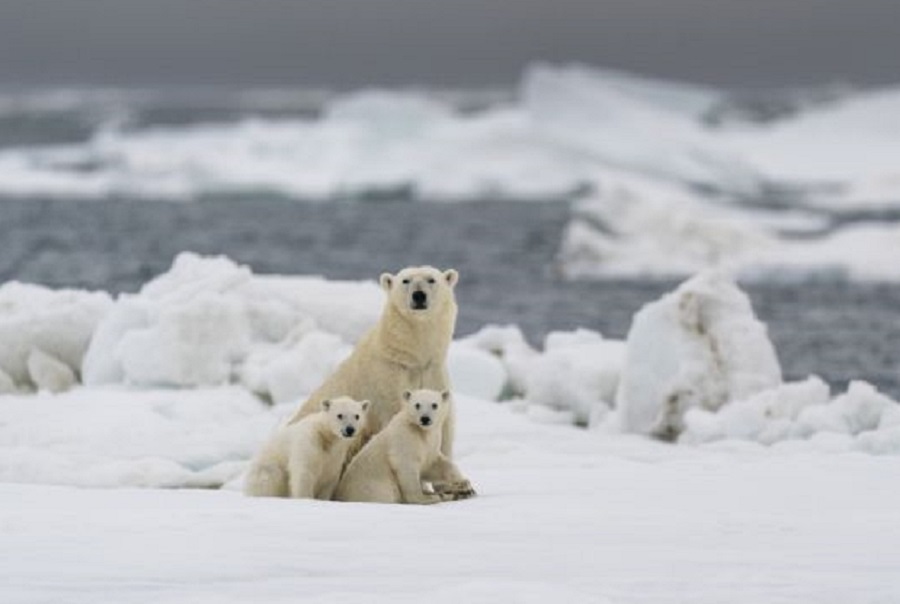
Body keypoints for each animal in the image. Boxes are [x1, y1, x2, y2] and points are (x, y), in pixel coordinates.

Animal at [286, 264, 460, 458]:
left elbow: (444, 424)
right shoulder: (387, 382)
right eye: (405, 280)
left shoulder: (433, 371)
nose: (419, 295)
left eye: (431, 279)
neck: (411, 357)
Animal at [336, 390, 474, 502]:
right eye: (417, 404)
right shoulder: (404, 438)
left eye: (434, 405)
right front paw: (425, 497)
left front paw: (464, 484)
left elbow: (433, 463)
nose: (425, 418)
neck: (421, 432)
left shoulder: (431, 443)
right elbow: (406, 466)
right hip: (373, 487)